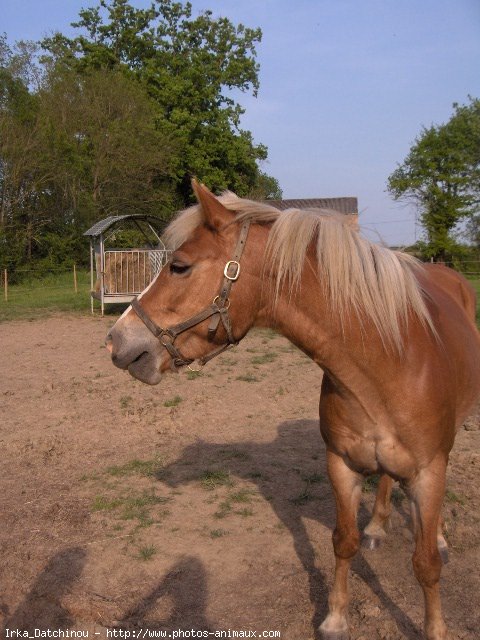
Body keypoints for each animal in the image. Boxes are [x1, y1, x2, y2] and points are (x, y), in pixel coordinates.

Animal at [106, 179, 480, 640]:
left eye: (178, 266)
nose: (116, 340)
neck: (389, 360)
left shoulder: (428, 473)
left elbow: (425, 565)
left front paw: (435, 625)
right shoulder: (341, 465)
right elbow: (343, 541)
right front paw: (335, 618)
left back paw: (440, 536)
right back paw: (378, 526)